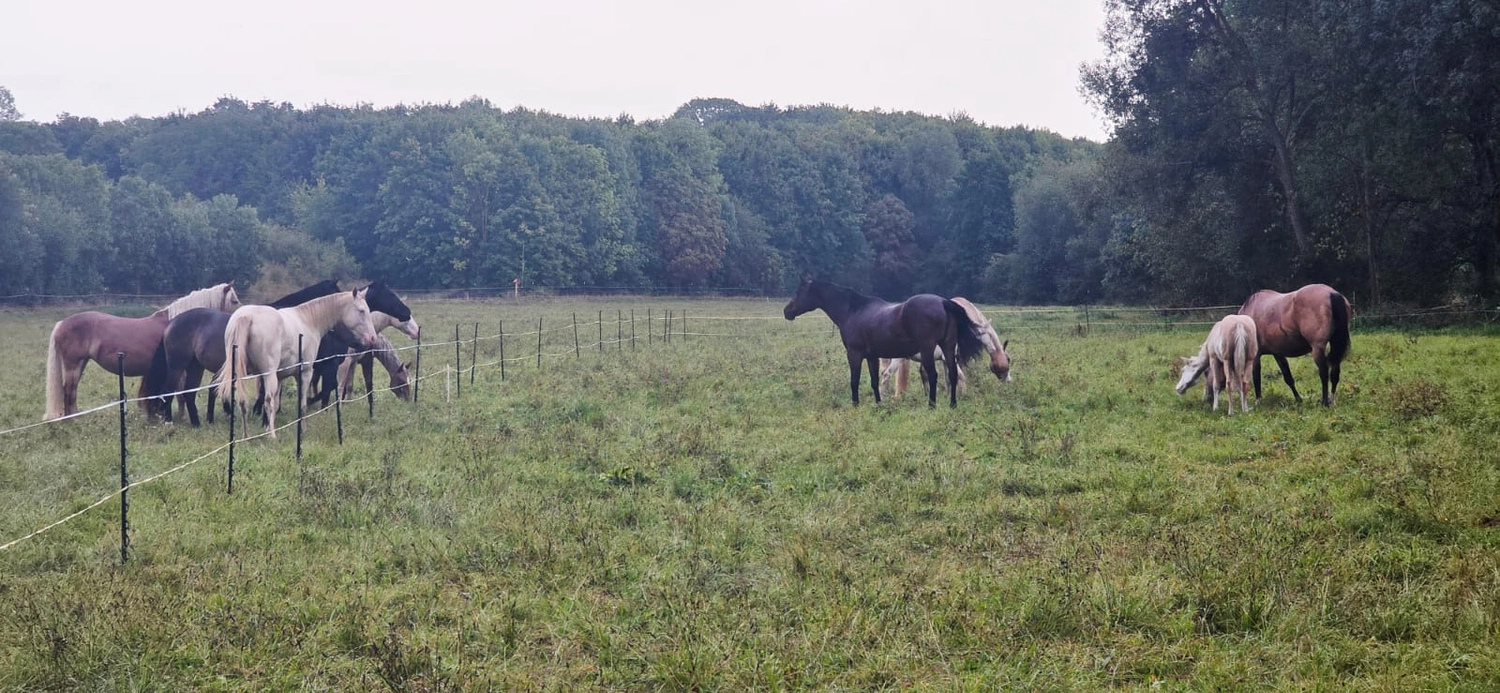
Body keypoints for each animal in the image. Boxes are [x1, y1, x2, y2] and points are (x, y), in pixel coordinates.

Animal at [43, 283, 241, 420]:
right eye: (234, 300)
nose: (240, 317)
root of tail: (61, 323)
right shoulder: (178, 368)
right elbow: (179, 393)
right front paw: (180, 416)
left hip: (81, 363)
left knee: (72, 390)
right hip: (73, 364)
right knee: (69, 390)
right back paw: (72, 420)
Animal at [214, 289, 379, 438]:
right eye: (361, 311)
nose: (372, 338)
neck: (308, 321)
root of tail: (246, 316)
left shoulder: (280, 376)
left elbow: (277, 402)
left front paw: (267, 427)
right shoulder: (304, 373)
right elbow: (302, 403)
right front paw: (302, 429)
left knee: (243, 402)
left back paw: (246, 436)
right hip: (268, 375)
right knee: (267, 401)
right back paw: (272, 436)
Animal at [783, 278, 985, 408]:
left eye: (799, 292)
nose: (787, 311)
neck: (854, 311)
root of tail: (943, 302)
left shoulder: (854, 354)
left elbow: (854, 381)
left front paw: (855, 405)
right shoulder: (872, 357)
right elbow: (874, 381)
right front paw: (878, 403)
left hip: (928, 350)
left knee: (934, 376)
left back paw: (932, 404)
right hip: (948, 348)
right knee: (952, 375)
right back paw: (952, 404)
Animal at [879, 297, 1011, 399]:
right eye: (1008, 360)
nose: (1009, 381)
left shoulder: (944, 360)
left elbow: (949, 379)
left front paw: (949, 396)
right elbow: (960, 376)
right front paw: (964, 395)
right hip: (897, 359)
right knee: (886, 374)